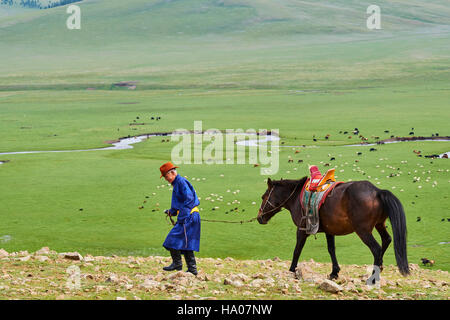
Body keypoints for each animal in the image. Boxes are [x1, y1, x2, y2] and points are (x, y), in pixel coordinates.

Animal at [256, 176, 408, 278]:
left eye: (263, 196)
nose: (259, 218)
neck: (296, 197)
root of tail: (377, 191)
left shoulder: (301, 229)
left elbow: (297, 250)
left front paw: (292, 270)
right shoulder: (330, 230)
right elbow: (331, 250)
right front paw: (334, 272)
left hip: (363, 231)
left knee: (376, 249)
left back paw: (373, 276)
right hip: (379, 224)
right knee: (386, 240)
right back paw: (379, 268)